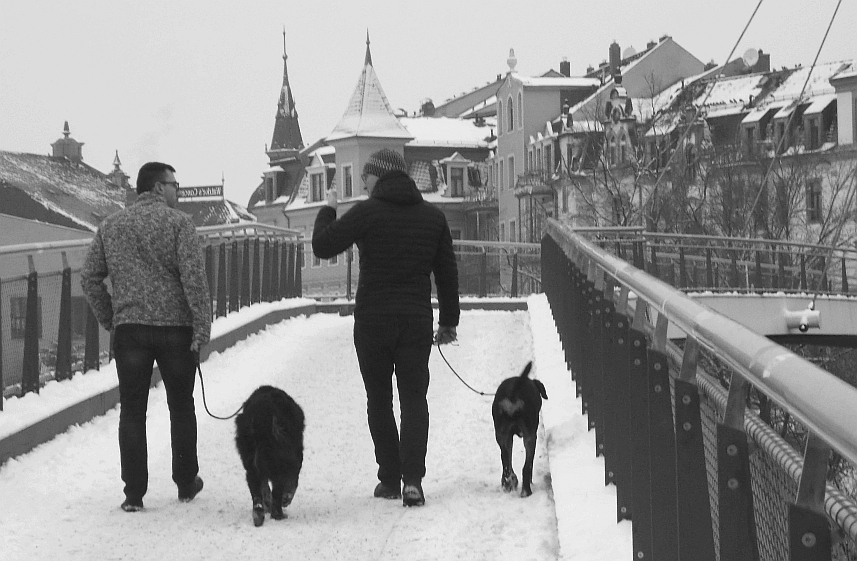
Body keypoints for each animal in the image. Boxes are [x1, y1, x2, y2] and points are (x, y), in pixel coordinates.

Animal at [234, 384, 304, 524]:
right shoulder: (295, 458)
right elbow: (292, 483)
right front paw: (285, 499)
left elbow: (264, 487)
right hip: (280, 463)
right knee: (277, 490)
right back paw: (278, 514)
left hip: (251, 461)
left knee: (256, 489)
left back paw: (259, 514)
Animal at [492, 360, 544, 496]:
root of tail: (513, 393)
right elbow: (529, 464)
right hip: (529, 436)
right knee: (526, 467)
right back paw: (526, 491)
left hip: (501, 434)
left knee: (506, 462)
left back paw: (509, 482)